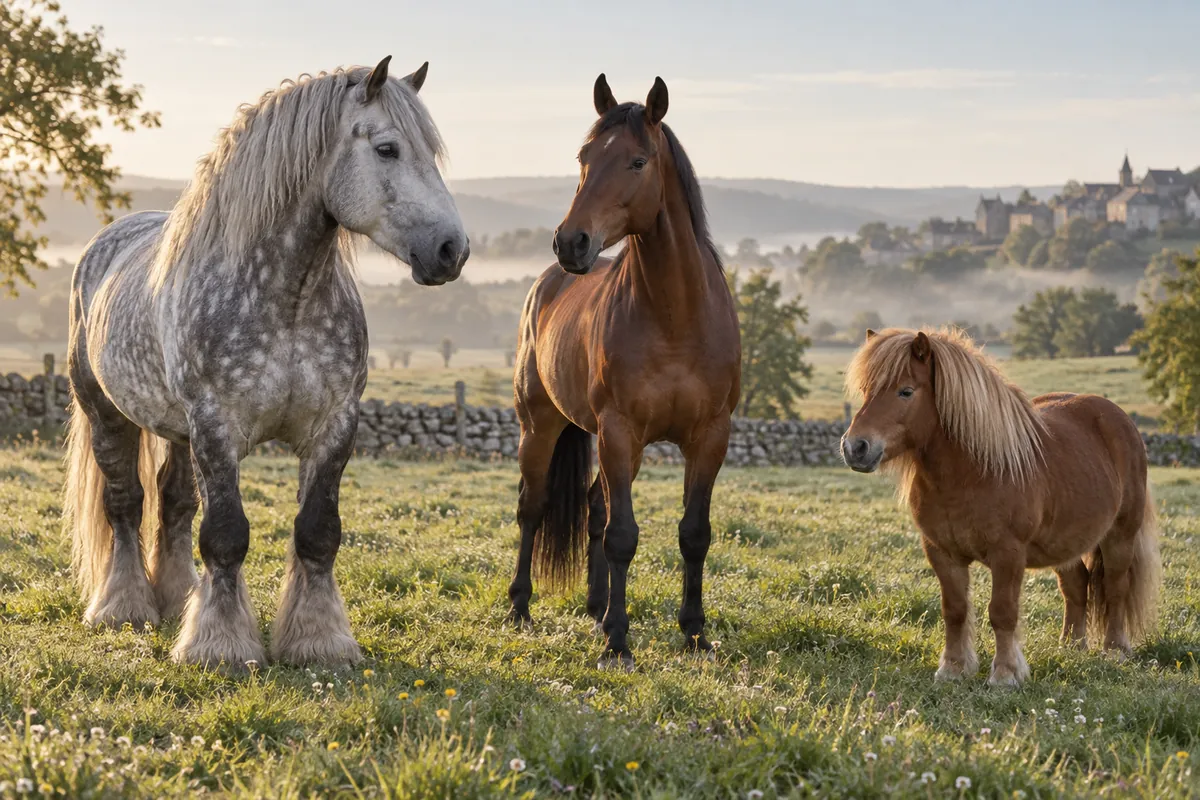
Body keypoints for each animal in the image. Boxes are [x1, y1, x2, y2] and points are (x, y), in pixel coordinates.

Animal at [64, 57, 468, 671]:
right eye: (388, 149)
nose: (453, 250)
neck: (288, 299)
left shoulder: (333, 428)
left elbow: (317, 533)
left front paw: (318, 640)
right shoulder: (216, 428)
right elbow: (226, 534)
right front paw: (219, 645)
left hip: (177, 431)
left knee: (173, 504)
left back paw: (179, 597)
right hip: (106, 414)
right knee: (126, 505)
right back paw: (123, 607)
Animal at [506, 75, 741, 669]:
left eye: (638, 161)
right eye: (584, 157)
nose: (571, 242)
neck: (675, 316)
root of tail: (546, 284)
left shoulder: (710, 437)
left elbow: (694, 534)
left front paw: (695, 632)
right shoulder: (619, 431)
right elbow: (622, 536)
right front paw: (617, 640)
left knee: (592, 507)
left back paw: (593, 608)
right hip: (541, 427)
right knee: (533, 508)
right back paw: (521, 607)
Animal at [840, 327, 1161, 686]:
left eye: (906, 391)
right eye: (866, 390)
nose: (855, 447)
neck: (972, 473)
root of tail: (1119, 419)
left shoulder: (1008, 554)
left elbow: (1002, 612)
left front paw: (1005, 674)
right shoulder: (941, 552)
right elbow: (954, 609)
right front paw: (953, 668)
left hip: (1120, 535)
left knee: (1115, 587)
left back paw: (1115, 651)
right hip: (1065, 541)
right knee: (1076, 585)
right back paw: (1070, 648)